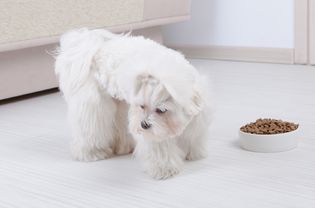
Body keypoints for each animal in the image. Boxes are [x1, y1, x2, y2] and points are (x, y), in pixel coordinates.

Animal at [55, 28, 212, 180]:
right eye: (142, 106)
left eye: (161, 110)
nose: (144, 125)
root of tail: (92, 46)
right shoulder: (154, 133)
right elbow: (160, 149)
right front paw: (164, 170)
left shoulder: (198, 120)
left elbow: (193, 138)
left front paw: (193, 154)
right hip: (94, 105)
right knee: (90, 129)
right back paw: (92, 153)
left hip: (120, 104)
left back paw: (123, 147)